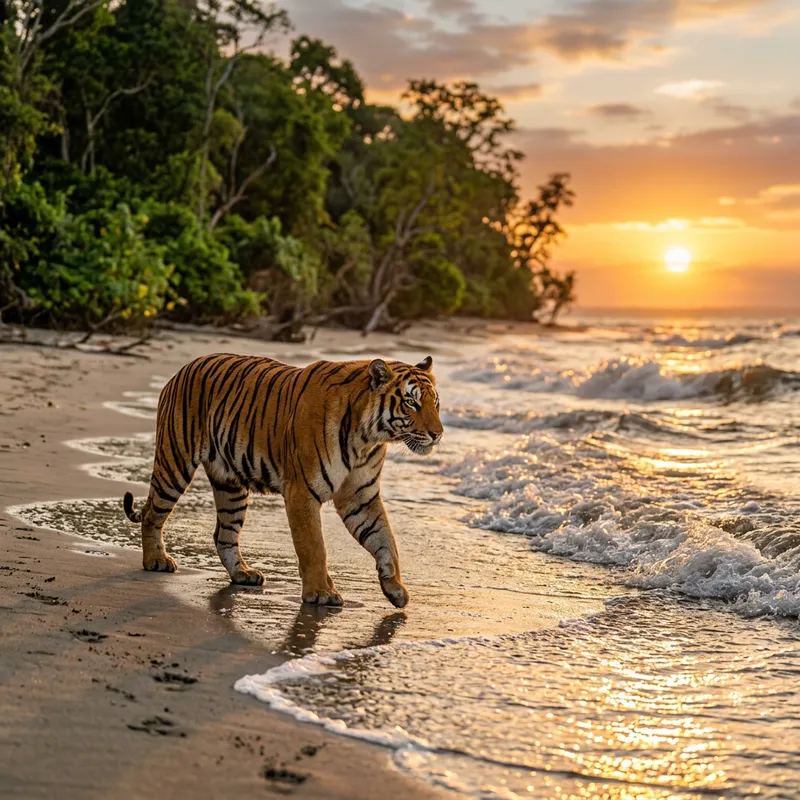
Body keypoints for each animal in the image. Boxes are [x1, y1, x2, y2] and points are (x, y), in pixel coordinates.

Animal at [122, 353, 443, 608]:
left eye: (436, 404)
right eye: (411, 403)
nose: (438, 434)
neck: (368, 438)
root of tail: (183, 368)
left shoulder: (360, 496)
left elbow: (385, 539)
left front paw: (395, 589)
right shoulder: (302, 492)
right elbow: (314, 546)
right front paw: (321, 593)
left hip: (231, 486)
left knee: (223, 534)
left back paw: (243, 574)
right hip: (174, 463)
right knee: (152, 514)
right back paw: (156, 561)